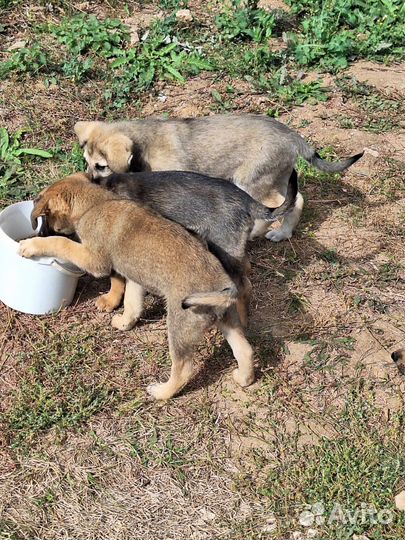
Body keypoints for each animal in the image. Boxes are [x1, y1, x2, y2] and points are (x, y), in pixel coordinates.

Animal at [19, 174, 256, 400]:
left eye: (45, 220)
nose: (37, 234)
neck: (95, 203)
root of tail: (225, 288)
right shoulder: (134, 278)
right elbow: (132, 303)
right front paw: (125, 322)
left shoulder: (94, 260)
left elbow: (62, 243)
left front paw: (31, 246)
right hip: (226, 319)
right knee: (245, 349)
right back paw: (244, 378)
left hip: (180, 325)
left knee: (184, 368)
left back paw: (162, 392)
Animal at [74, 116, 362, 243]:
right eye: (87, 163)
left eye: (101, 166)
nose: (90, 182)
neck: (145, 145)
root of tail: (292, 135)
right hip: (277, 178)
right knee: (295, 199)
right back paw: (280, 232)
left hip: (252, 181)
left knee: (275, 207)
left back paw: (266, 232)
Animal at [75, 169, 296, 320]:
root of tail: (247, 200)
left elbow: (116, 278)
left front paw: (109, 300)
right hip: (230, 249)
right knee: (246, 268)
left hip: (223, 249)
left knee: (243, 284)